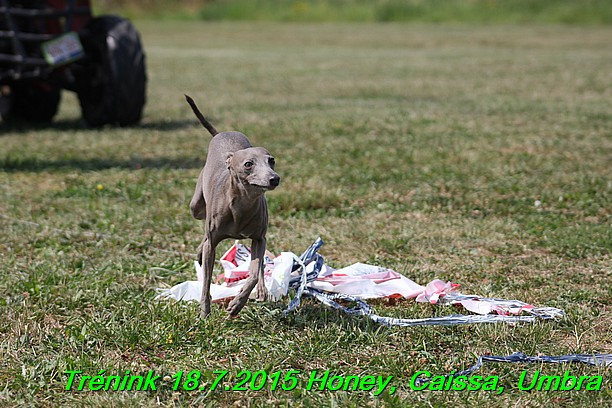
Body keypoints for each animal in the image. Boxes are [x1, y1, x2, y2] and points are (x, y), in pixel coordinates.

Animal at [185, 95, 280, 318]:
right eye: (248, 164)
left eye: (271, 160)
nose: (274, 179)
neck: (242, 206)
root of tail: (222, 133)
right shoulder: (213, 240)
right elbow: (206, 281)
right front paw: (204, 311)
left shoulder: (258, 237)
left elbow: (253, 273)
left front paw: (236, 304)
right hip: (196, 207)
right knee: (203, 228)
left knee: (259, 266)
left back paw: (261, 291)